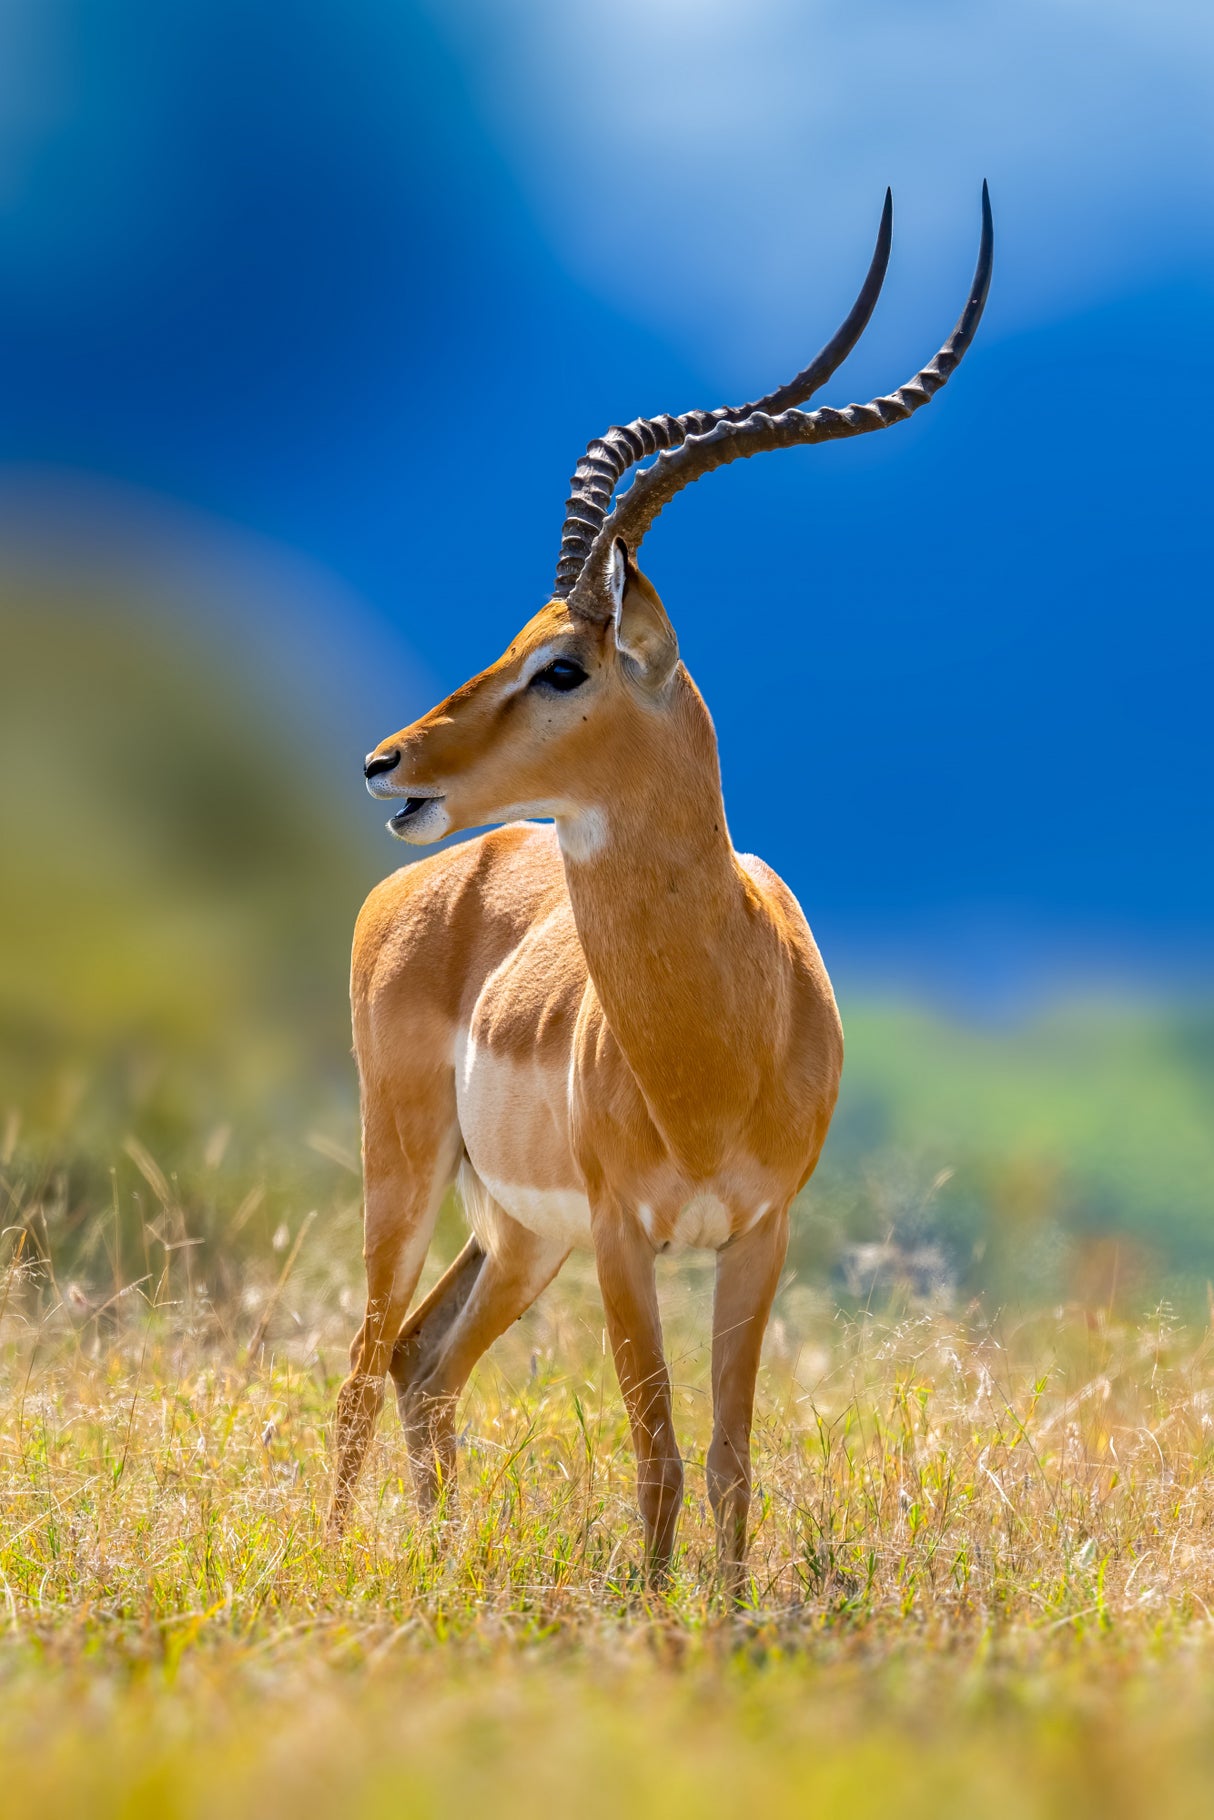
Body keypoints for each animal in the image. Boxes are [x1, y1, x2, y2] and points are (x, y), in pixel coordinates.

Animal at [329, 187, 993, 1588]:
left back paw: (440, 1563)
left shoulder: (756, 1234)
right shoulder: (626, 1234)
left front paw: (726, 1620)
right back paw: (344, 1552)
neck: (721, 1030)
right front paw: (650, 1617)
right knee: (361, 1362)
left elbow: (731, 1458)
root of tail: (435, 877)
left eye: (563, 664)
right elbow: (659, 1453)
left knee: (421, 1360)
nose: (386, 763)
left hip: (518, 1234)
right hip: (408, 1174)